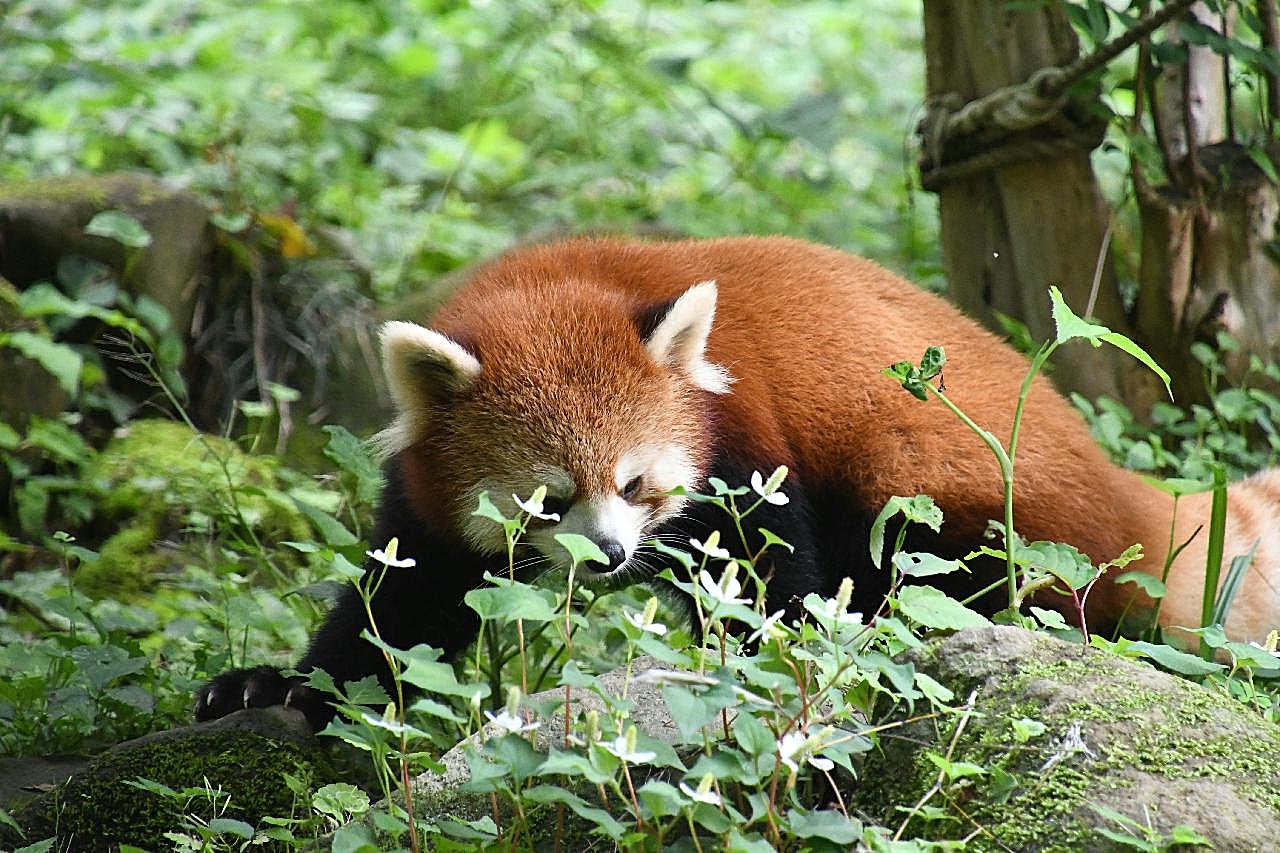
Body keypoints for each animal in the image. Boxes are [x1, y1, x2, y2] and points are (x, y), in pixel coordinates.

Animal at [197, 235, 1280, 727]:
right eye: (550, 498)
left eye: (636, 484)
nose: (608, 556)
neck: (568, 278)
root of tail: (1124, 490)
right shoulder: (431, 498)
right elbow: (400, 605)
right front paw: (272, 685)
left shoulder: (744, 439)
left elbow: (769, 576)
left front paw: (785, 663)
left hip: (958, 485)